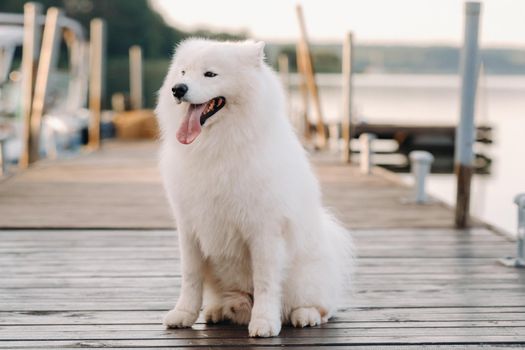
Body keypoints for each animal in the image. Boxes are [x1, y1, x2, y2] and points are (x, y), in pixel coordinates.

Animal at [156, 37, 352, 336]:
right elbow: (190, 276)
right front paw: (183, 314)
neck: (217, 147)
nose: (178, 89)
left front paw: (264, 323)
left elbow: (265, 281)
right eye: (183, 73)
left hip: (306, 276)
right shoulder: (189, 227)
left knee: (321, 307)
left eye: (210, 74)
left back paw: (303, 315)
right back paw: (219, 310)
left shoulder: (264, 230)